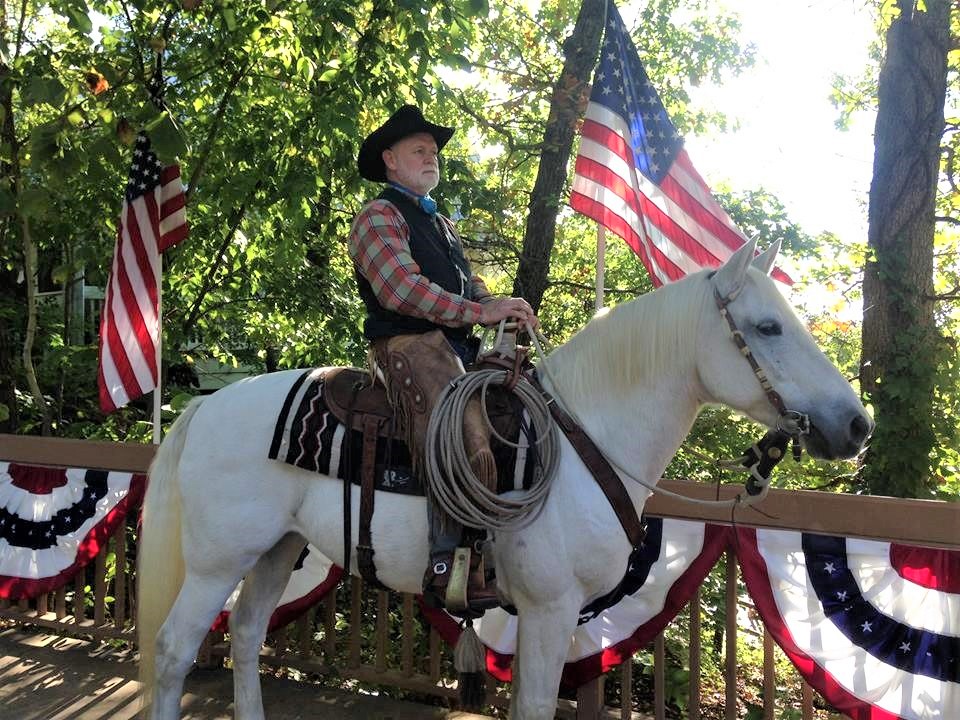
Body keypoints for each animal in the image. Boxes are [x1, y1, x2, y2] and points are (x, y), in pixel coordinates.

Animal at [137, 239, 876, 716]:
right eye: (767, 326)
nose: (856, 425)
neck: (586, 440)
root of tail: (206, 407)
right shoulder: (549, 610)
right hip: (217, 560)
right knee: (173, 649)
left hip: (277, 548)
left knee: (246, 632)